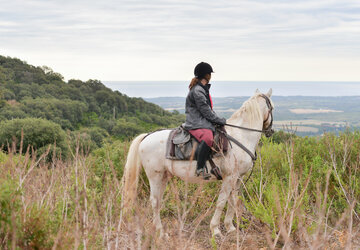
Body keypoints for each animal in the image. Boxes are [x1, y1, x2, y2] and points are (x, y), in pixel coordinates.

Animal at [122, 89, 274, 236]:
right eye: (272, 107)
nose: (270, 131)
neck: (241, 136)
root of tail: (147, 136)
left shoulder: (238, 178)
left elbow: (233, 201)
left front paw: (230, 227)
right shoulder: (229, 177)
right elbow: (222, 202)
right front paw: (215, 229)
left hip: (163, 176)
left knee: (158, 200)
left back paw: (159, 230)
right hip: (155, 176)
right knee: (154, 201)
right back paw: (160, 232)